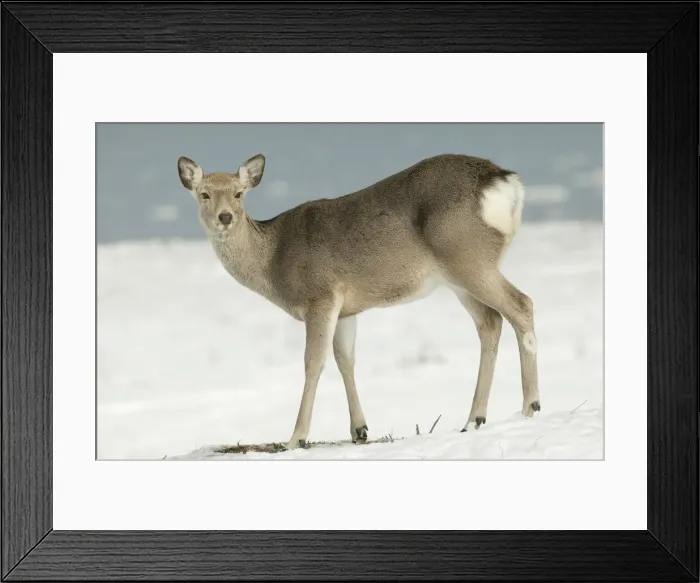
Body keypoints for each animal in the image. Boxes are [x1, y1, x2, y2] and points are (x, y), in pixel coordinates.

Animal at [177, 152, 540, 450]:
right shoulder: (346, 309)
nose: (225, 217)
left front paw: (296, 438)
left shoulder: (320, 296)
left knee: (521, 305)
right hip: (458, 276)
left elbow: (313, 363)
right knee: (490, 322)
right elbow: (345, 360)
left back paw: (530, 406)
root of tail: (504, 181)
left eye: (239, 193)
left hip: (467, 257)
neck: (274, 261)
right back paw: (473, 419)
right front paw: (359, 430)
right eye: (204, 193)